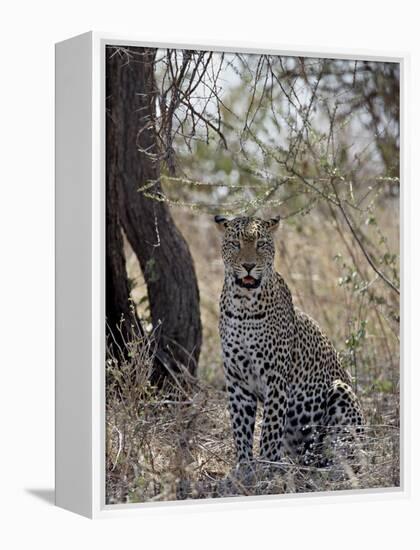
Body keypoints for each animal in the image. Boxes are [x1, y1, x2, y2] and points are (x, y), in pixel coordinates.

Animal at [215, 215, 362, 466]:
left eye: (261, 244)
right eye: (235, 244)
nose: (248, 265)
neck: (243, 305)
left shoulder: (275, 377)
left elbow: (270, 428)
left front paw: (267, 465)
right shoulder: (236, 379)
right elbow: (240, 426)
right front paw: (244, 466)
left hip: (341, 391)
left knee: (343, 450)